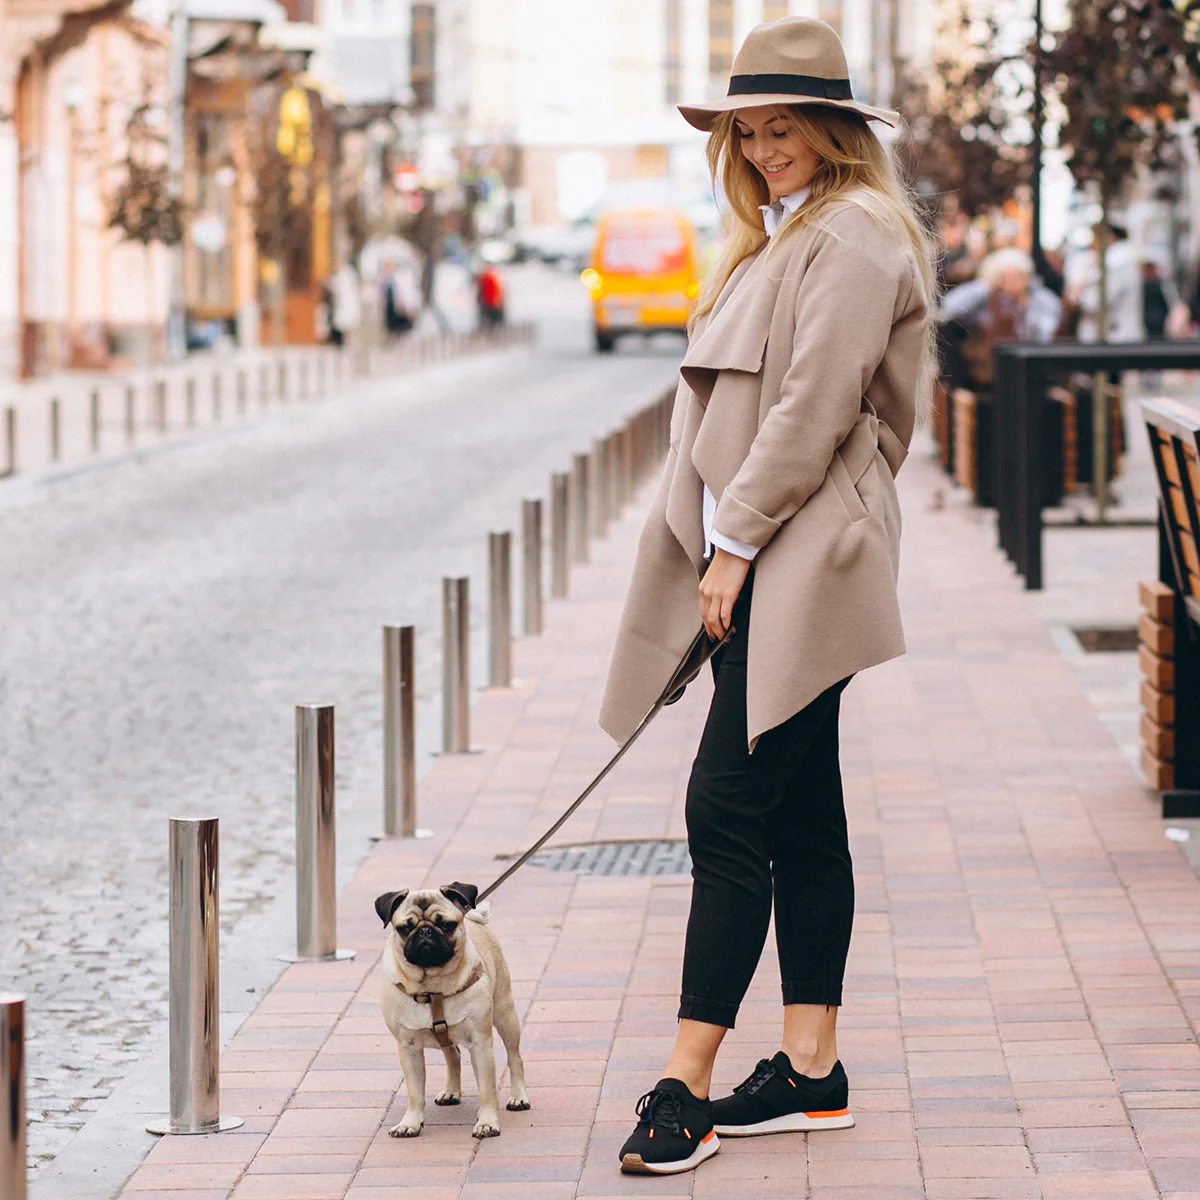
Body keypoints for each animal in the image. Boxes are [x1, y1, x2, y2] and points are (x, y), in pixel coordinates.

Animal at [372, 878, 528, 1137]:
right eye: (404, 928)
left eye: (445, 925)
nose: (425, 932)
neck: (432, 987)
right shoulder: (408, 1048)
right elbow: (415, 1092)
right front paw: (410, 1123)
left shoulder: (480, 1042)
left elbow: (487, 1089)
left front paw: (487, 1122)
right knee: (453, 1055)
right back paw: (451, 1092)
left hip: (505, 1014)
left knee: (514, 1058)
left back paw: (519, 1097)